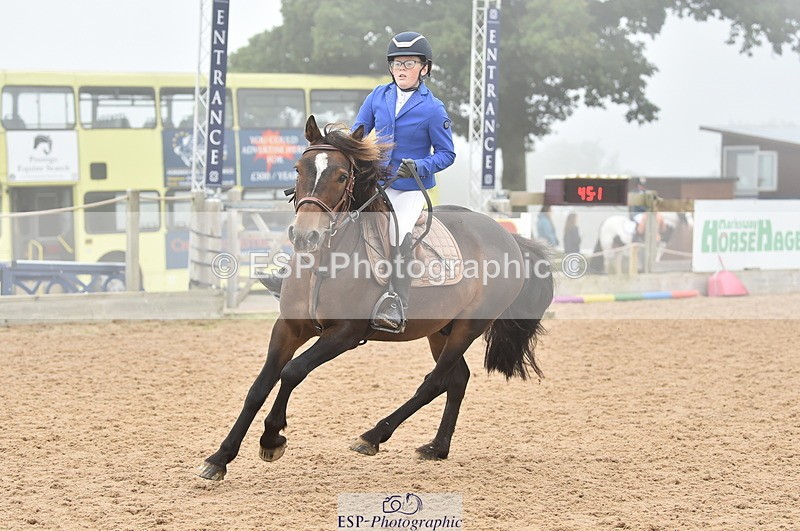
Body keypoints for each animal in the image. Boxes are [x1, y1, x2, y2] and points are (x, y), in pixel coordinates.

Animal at [198, 116, 554, 481]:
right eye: (298, 169)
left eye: (342, 176)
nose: (304, 236)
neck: (325, 261)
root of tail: (507, 236)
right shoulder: (289, 328)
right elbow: (258, 387)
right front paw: (220, 458)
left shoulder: (344, 333)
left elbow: (293, 371)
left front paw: (271, 438)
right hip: (440, 329)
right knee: (457, 379)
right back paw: (436, 448)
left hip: (469, 327)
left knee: (434, 381)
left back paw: (372, 436)